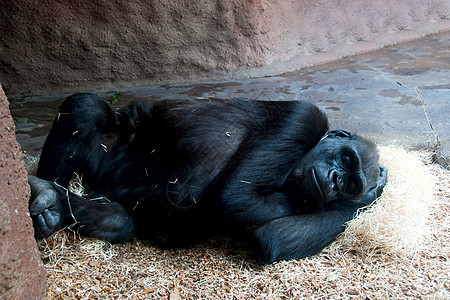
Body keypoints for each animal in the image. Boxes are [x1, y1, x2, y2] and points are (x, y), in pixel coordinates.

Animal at [27, 93, 386, 262]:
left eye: (351, 184)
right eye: (346, 159)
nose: (334, 180)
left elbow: (272, 238)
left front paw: (369, 194)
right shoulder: (303, 120)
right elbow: (236, 198)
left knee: (119, 221)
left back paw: (55, 206)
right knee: (87, 108)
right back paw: (42, 193)